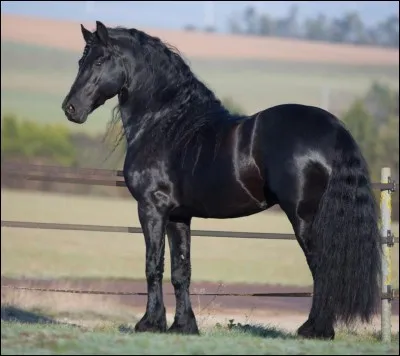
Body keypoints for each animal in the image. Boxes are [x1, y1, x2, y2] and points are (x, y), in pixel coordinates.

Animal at [61, 21, 382, 340]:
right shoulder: (179, 216)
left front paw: (149, 324)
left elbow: (153, 265)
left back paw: (315, 330)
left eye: (99, 61)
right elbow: (181, 270)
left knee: (322, 268)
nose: (70, 108)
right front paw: (184, 326)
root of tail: (334, 129)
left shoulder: (152, 209)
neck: (166, 123)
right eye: (80, 62)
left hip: (305, 218)